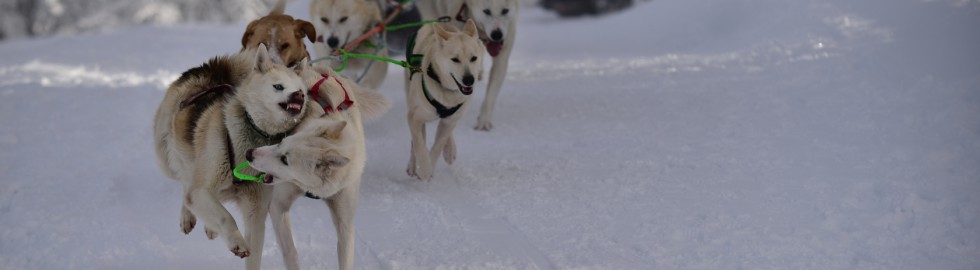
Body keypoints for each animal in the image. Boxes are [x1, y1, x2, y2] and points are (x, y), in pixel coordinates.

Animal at [153, 44, 310, 268]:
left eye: (302, 90)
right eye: (278, 86)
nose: (299, 95)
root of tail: (212, 68)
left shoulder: (256, 210)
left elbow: (254, 253)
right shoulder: (201, 190)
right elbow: (225, 217)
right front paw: (237, 242)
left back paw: (208, 226)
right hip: (167, 160)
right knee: (185, 183)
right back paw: (187, 215)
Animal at [245, 63, 390, 270]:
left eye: (285, 160)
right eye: (282, 142)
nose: (249, 154)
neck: (315, 189)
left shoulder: (345, 223)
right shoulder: (278, 205)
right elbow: (291, 251)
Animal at [404, 20, 484, 181]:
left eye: (473, 58)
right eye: (455, 59)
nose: (469, 80)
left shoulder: (450, 120)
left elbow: (438, 145)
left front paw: (431, 164)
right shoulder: (415, 117)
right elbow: (419, 144)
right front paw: (424, 168)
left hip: (452, 118)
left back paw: (450, 150)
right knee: (416, 141)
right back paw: (413, 166)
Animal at [416, 0, 520, 131]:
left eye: (505, 11)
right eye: (486, 11)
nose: (497, 34)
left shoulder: (502, 56)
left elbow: (491, 94)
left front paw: (484, 121)